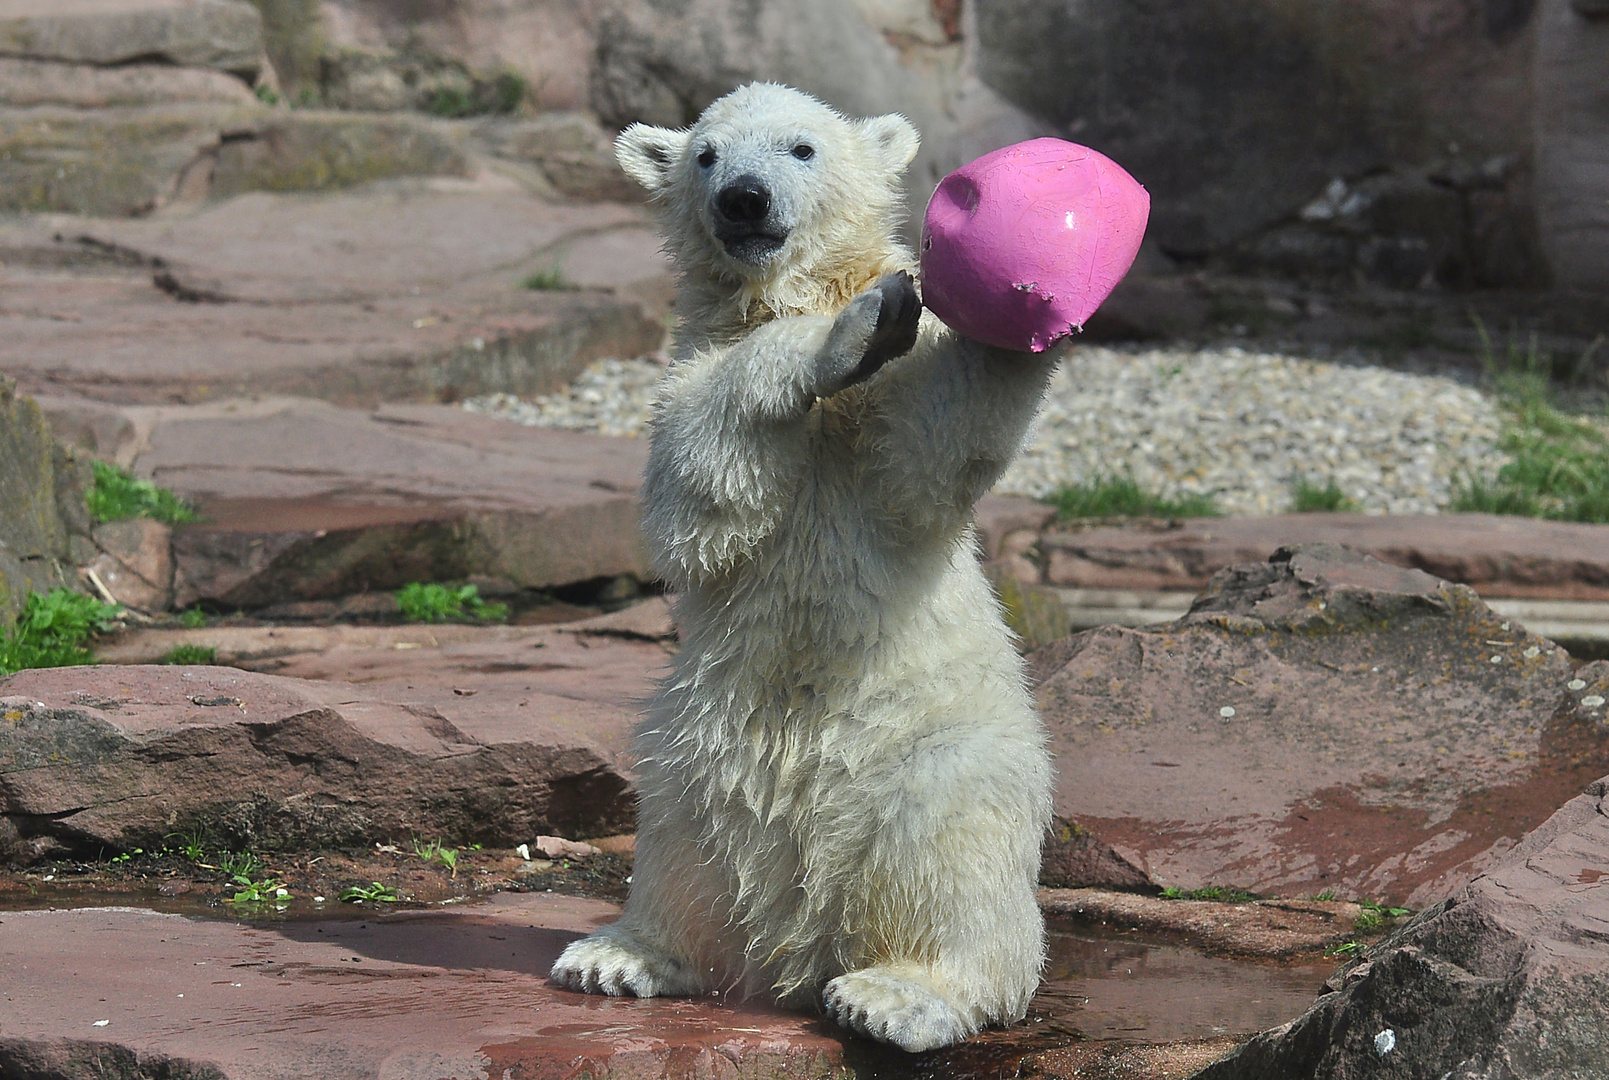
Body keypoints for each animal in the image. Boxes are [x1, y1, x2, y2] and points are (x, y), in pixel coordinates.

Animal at [547, 84, 1061, 1055]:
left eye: (801, 148)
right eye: (706, 155)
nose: (742, 200)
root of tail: (799, 940)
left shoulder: (889, 446)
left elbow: (933, 448)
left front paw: (1025, 300)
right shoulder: (683, 373)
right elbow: (696, 494)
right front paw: (842, 336)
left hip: (937, 742)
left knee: (947, 843)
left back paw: (897, 995)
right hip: (697, 733)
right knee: (678, 832)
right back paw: (621, 954)